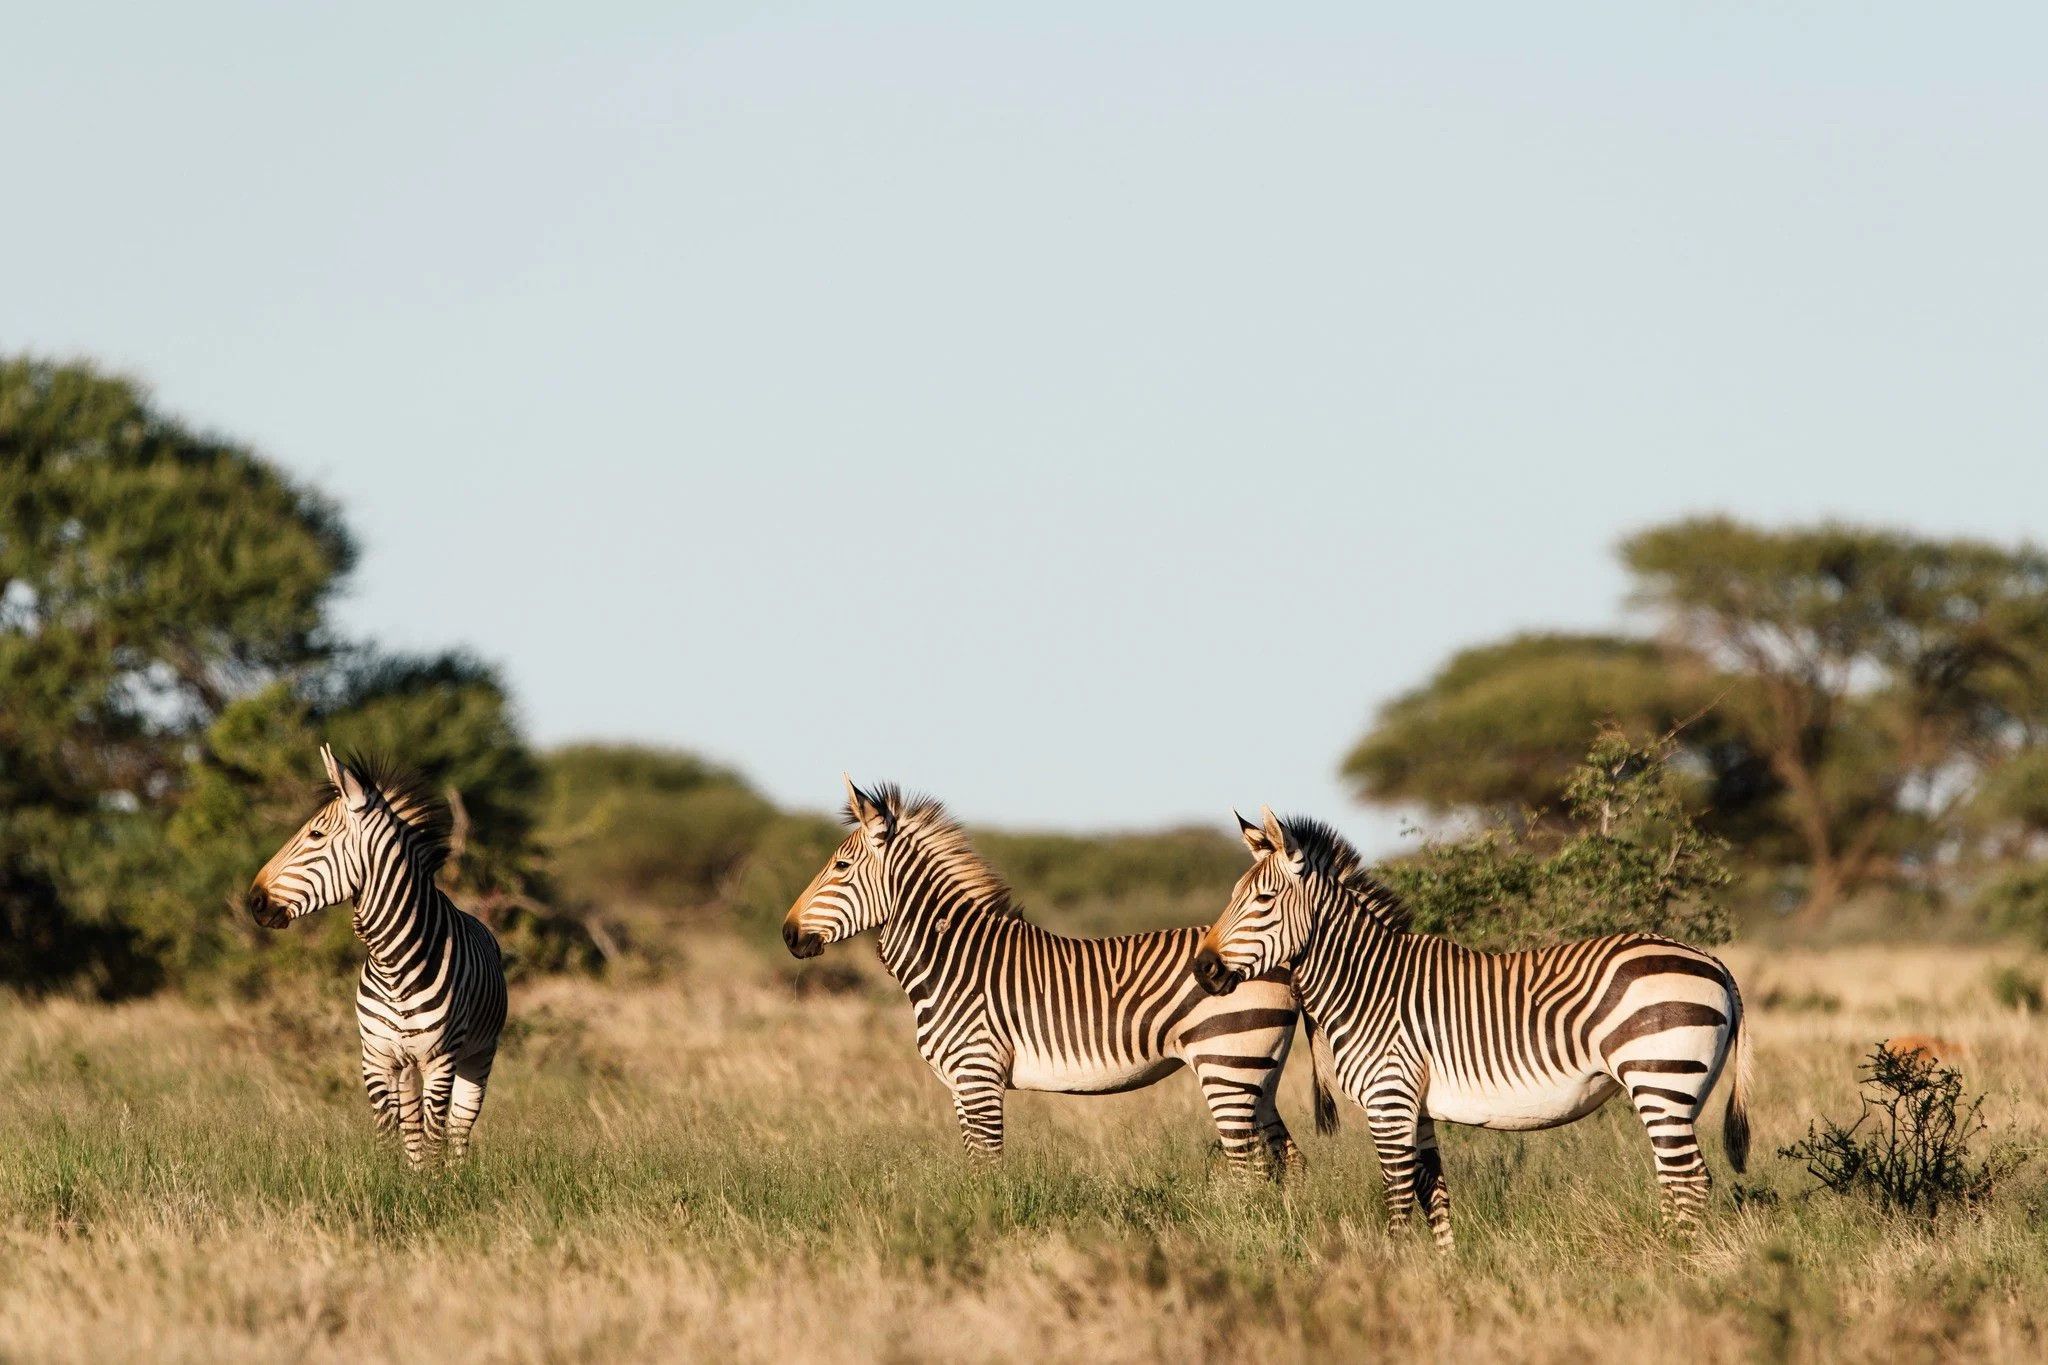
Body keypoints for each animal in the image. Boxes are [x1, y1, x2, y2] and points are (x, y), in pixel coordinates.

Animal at [247, 745, 509, 1169]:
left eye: (316, 834)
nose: (254, 900)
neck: (394, 962)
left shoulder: (439, 1059)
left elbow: (434, 1138)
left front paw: (433, 1184)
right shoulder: (376, 1058)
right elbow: (391, 1134)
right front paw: (391, 1178)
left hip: (478, 1055)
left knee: (458, 1127)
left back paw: (456, 1175)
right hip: (407, 1067)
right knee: (414, 1126)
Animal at [782, 778, 1305, 1175]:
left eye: (841, 866)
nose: (787, 934)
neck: (951, 960)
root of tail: (1285, 961)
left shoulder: (978, 1075)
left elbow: (987, 1169)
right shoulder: (960, 1085)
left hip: (1227, 1064)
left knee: (1251, 1165)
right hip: (1258, 1074)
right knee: (1288, 1160)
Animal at [1191, 807, 1751, 1247]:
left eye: (1262, 902)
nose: (1202, 969)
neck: (1369, 984)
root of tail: (1715, 962)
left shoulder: (1388, 1100)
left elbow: (1397, 1197)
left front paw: (1391, 1274)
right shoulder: (1415, 1107)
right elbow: (1433, 1193)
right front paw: (1443, 1271)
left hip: (1660, 1077)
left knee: (1689, 1180)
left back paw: (1678, 1260)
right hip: (1675, 1091)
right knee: (1676, 1179)